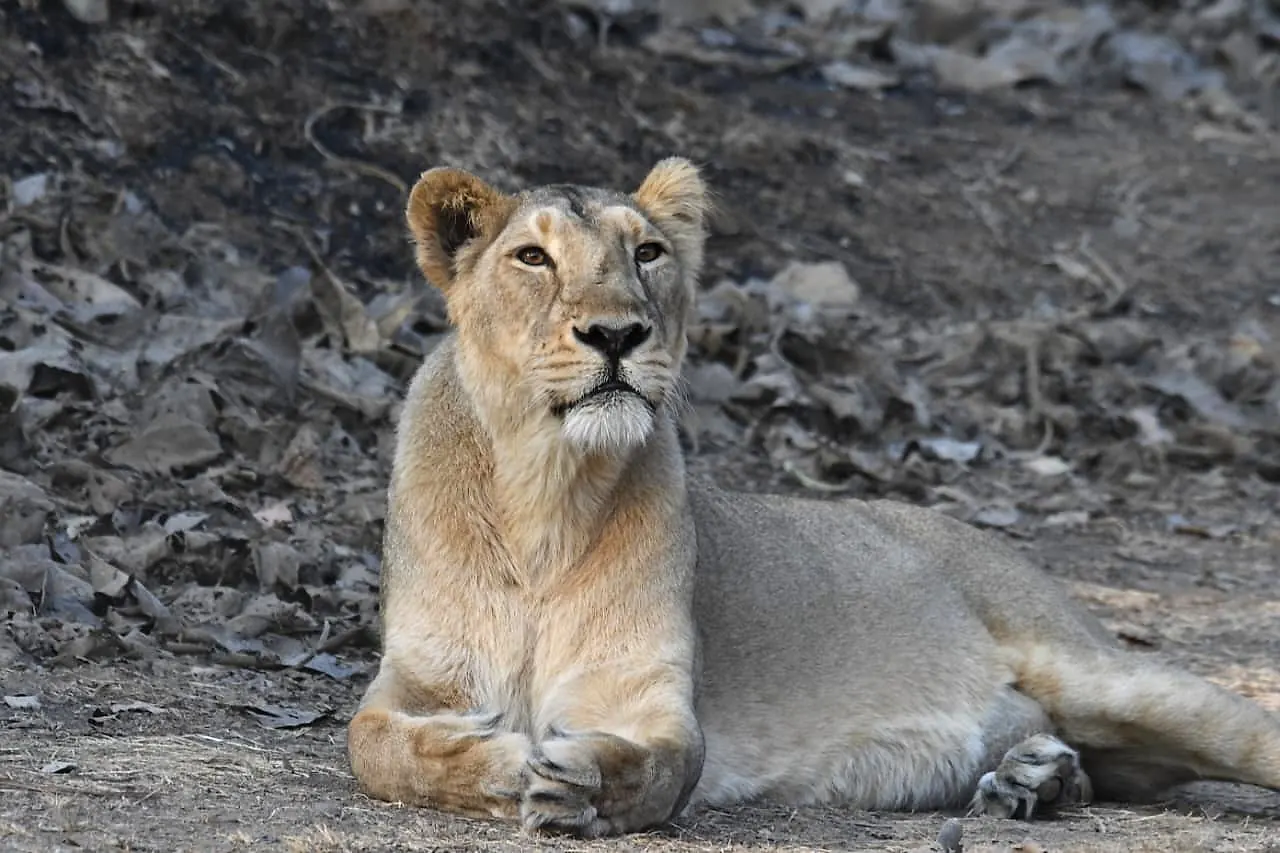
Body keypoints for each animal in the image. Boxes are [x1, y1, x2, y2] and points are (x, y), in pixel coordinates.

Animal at [346, 158, 1280, 837]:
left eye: (647, 253)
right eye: (532, 258)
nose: (618, 334)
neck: (545, 489)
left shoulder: (646, 696)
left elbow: (667, 765)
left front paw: (578, 780)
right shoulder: (415, 678)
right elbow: (374, 746)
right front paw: (503, 760)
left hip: (1102, 670)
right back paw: (1036, 778)